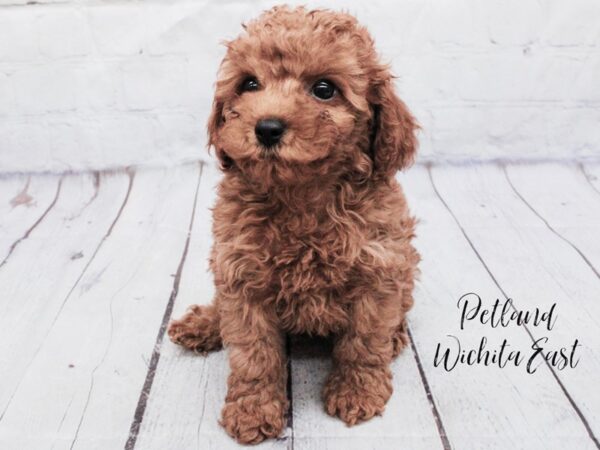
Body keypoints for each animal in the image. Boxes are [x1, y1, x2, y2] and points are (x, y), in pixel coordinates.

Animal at [169, 5, 420, 444]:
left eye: (324, 89)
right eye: (249, 84)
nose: (267, 127)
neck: (300, 197)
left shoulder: (380, 268)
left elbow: (363, 341)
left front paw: (357, 391)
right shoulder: (241, 275)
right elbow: (253, 354)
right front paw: (253, 410)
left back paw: (396, 337)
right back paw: (205, 324)